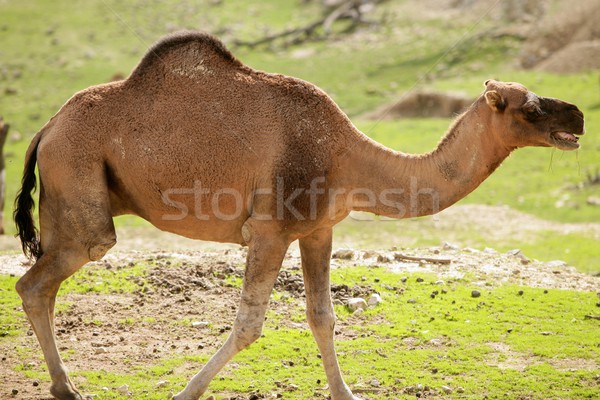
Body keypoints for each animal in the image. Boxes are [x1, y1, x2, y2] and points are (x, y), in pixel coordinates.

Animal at [15, 32, 584, 400]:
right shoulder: (270, 230)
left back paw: (64, 386)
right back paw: (67, 388)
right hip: (81, 186)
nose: (578, 115)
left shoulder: (318, 229)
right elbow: (249, 324)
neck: (345, 154)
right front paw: (185, 393)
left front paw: (346, 393)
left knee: (39, 283)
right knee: (44, 277)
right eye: (529, 108)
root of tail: (45, 129)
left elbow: (322, 316)